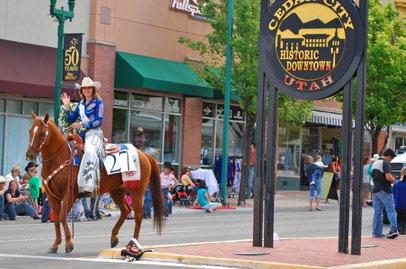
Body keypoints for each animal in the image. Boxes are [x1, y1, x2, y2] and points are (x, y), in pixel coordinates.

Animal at [25, 112, 163, 252]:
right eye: (30, 131)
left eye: (42, 133)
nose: (29, 154)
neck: (59, 158)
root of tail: (144, 154)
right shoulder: (53, 197)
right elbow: (57, 220)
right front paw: (55, 244)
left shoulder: (69, 194)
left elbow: (62, 217)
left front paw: (68, 243)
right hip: (117, 191)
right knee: (125, 210)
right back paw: (114, 238)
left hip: (137, 190)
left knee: (138, 215)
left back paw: (133, 244)